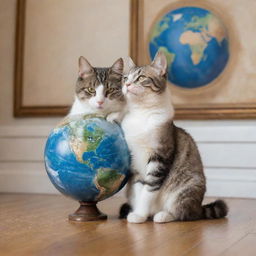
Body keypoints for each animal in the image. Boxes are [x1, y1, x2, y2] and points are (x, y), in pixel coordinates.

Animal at [120, 51, 228, 223]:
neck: (141, 113)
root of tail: (199, 207)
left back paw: (163, 215)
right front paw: (138, 213)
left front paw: (139, 214)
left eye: (141, 77)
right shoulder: (134, 161)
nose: (127, 84)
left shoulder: (160, 158)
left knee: (185, 213)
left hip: (186, 189)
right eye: (125, 78)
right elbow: (139, 190)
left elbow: (148, 191)